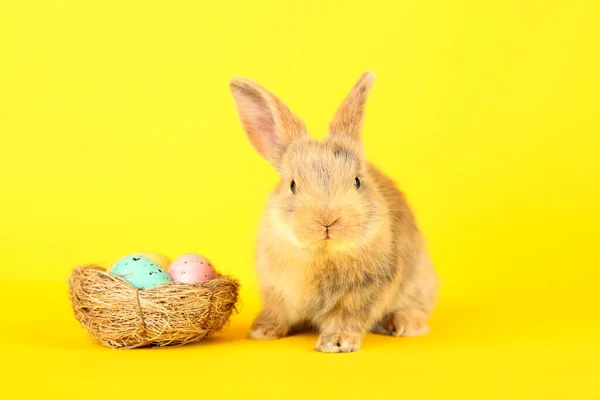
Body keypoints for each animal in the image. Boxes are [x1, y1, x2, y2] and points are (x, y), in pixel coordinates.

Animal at [229, 72, 436, 354]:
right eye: (292, 185)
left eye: (357, 181)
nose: (327, 221)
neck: (322, 253)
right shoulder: (276, 291)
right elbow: (277, 312)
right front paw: (263, 332)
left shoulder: (361, 293)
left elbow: (345, 318)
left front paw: (336, 343)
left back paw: (401, 324)